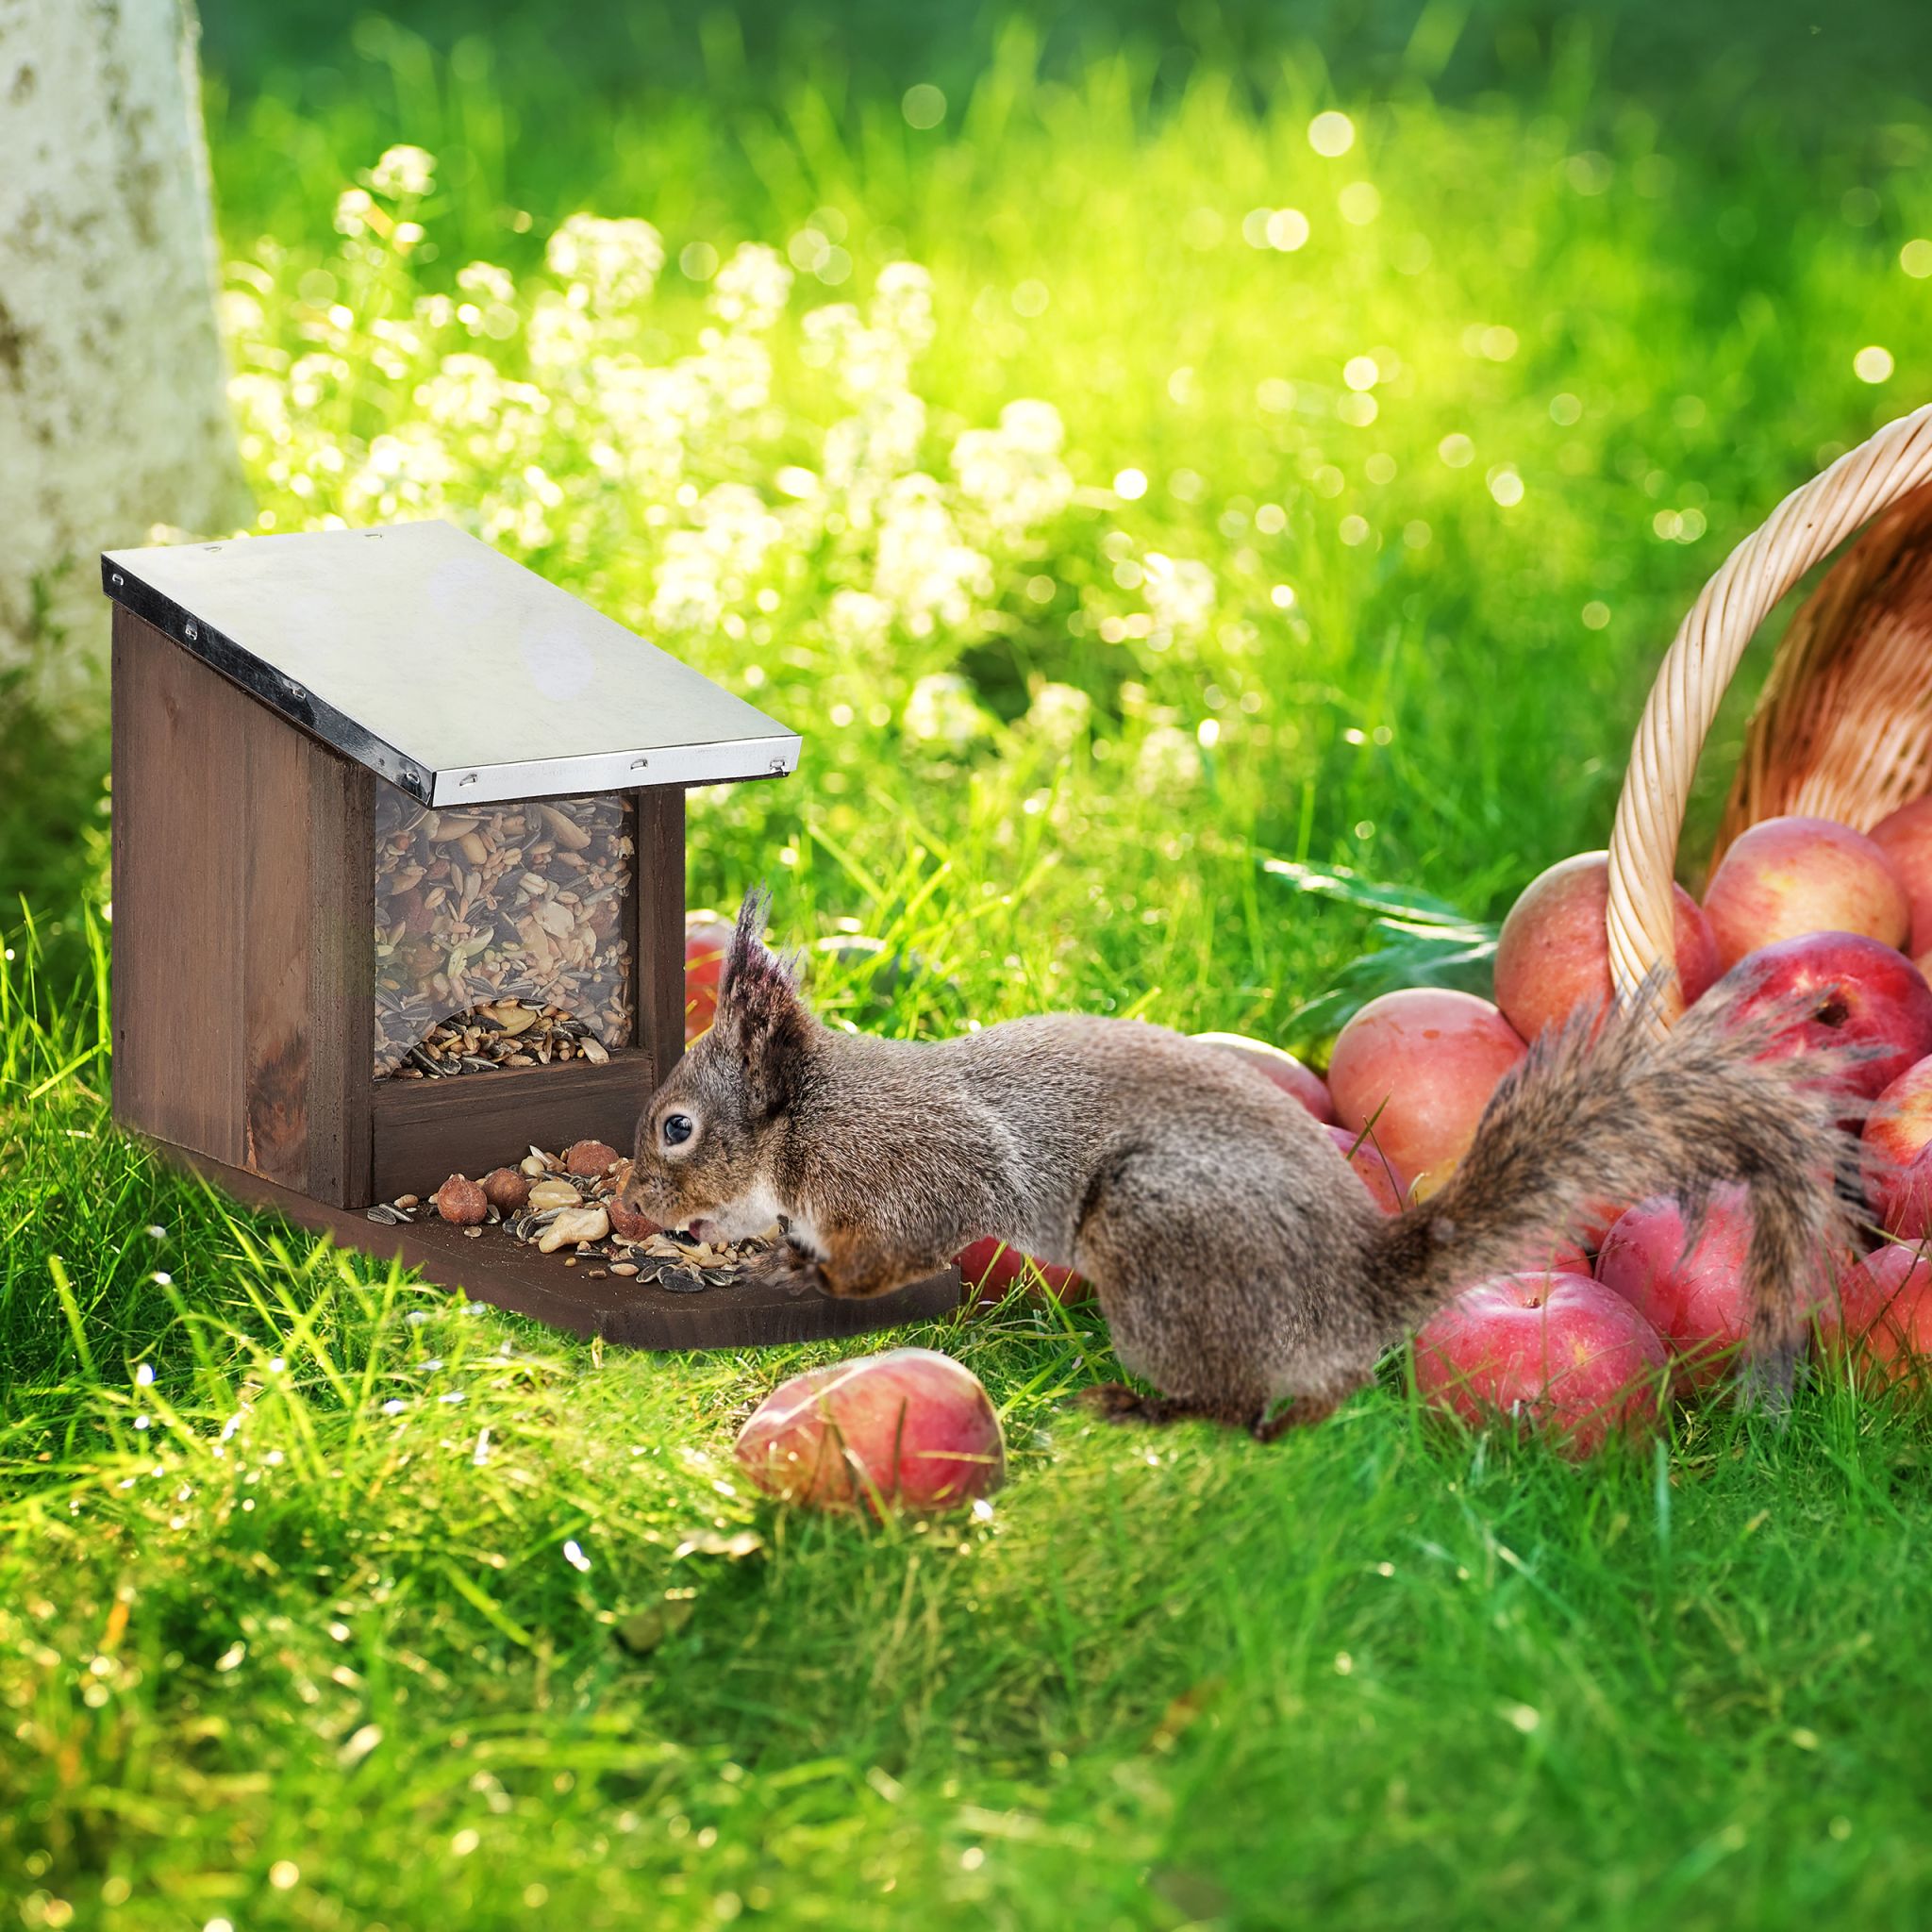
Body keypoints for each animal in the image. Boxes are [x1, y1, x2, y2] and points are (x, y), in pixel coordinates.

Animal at [617, 890, 1860, 1439]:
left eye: (674, 1127)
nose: (630, 1209)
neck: (807, 1120)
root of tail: (1354, 1291)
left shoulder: (910, 1166)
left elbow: (892, 1251)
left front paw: (809, 1273)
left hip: (1158, 1240)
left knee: (1259, 1396)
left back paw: (1155, 1405)